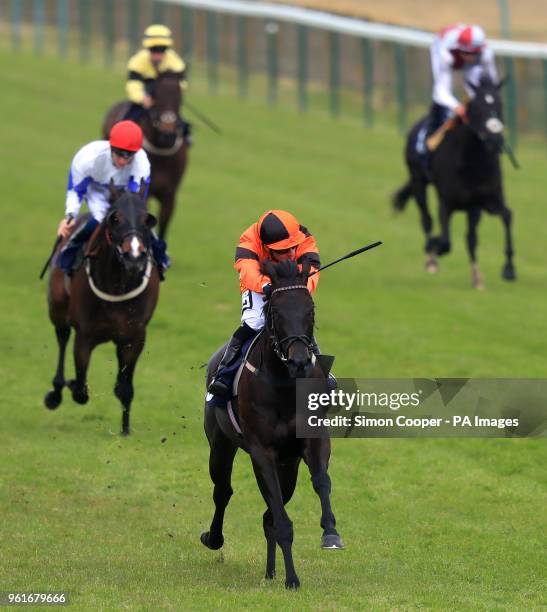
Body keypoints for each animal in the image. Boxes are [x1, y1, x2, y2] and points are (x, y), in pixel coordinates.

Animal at [45, 189, 161, 432]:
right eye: (115, 219)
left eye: (148, 220)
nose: (134, 257)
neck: (117, 285)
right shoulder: (85, 335)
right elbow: (80, 390)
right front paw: (71, 384)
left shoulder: (134, 337)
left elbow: (124, 388)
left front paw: (125, 431)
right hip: (57, 307)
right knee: (62, 335)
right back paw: (56, 391)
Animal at [201, 260, 342, 592]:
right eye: (276, 312)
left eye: (310, 310)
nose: (300, 361)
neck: (285, 385)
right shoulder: (261, 451)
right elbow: (281, 519)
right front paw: (292, 579)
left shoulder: (313, 441)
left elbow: (321, 481)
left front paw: (330, 532)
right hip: (221, 445)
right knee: (223, 491)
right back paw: (214, 539)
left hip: (287, 465)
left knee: (268, 515)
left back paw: (270, 571)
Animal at [394, 75, 512, 288]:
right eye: (477, 106)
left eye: (500, 104)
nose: (495, 138)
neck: (471, 161)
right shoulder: (446, 203)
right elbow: (445, 241)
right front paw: (434, 247)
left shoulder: (482, 202)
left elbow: (504, 218)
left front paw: (506, 269)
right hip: (418, 182)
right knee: (426, 220)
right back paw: (431, 259)